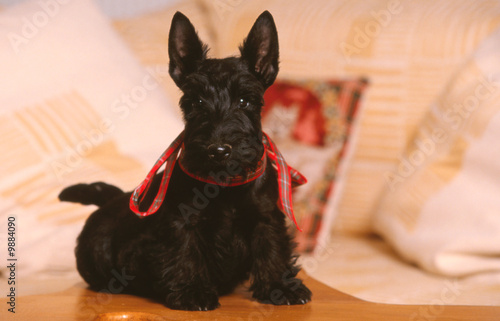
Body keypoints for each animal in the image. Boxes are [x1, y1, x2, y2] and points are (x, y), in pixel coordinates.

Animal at [57, 10, 308, 310]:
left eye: (246, 101)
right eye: (196, 102)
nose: (218, 150)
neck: (224, 186)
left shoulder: (265, 217)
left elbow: (272, 249)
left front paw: (280, 287)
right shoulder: (180, 221)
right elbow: (185, 252)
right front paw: (192, 291)